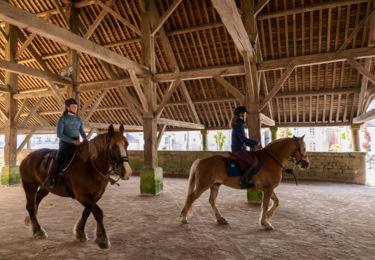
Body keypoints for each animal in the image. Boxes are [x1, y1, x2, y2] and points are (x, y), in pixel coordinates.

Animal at [181, 136, 310, 230]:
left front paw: (267, 218)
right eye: (303, 147)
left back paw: (221, 219)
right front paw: (265, 223)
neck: (272, 159)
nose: (307, 164)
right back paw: (183, 217)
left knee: (211, 201)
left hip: (215, 185)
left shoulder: (268, 188)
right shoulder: (268, 189)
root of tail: (201, 161)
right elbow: (265, 205)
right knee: (191, 197)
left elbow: (276, 202)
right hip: (203, 185)